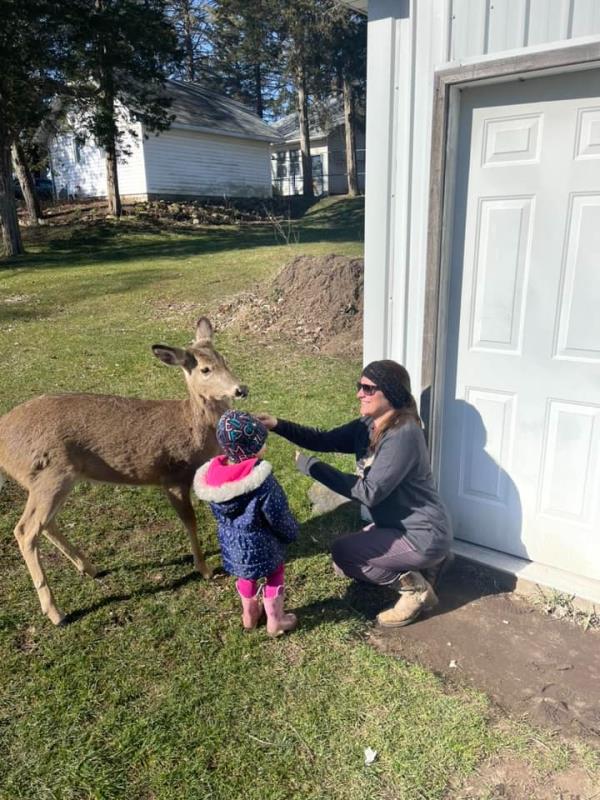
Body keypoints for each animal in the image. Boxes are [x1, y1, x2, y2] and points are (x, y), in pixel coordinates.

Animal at [0, 318, 248, 624]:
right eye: (205, 369)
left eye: (223, 359)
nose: (240, 389)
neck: (193, 430)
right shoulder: (172, 475)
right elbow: (189, 521)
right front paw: (204, 569)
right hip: (49, 473)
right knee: (25, 530)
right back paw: (56, 612)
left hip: (53, 479)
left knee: (45, 525)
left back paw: (89, 569)